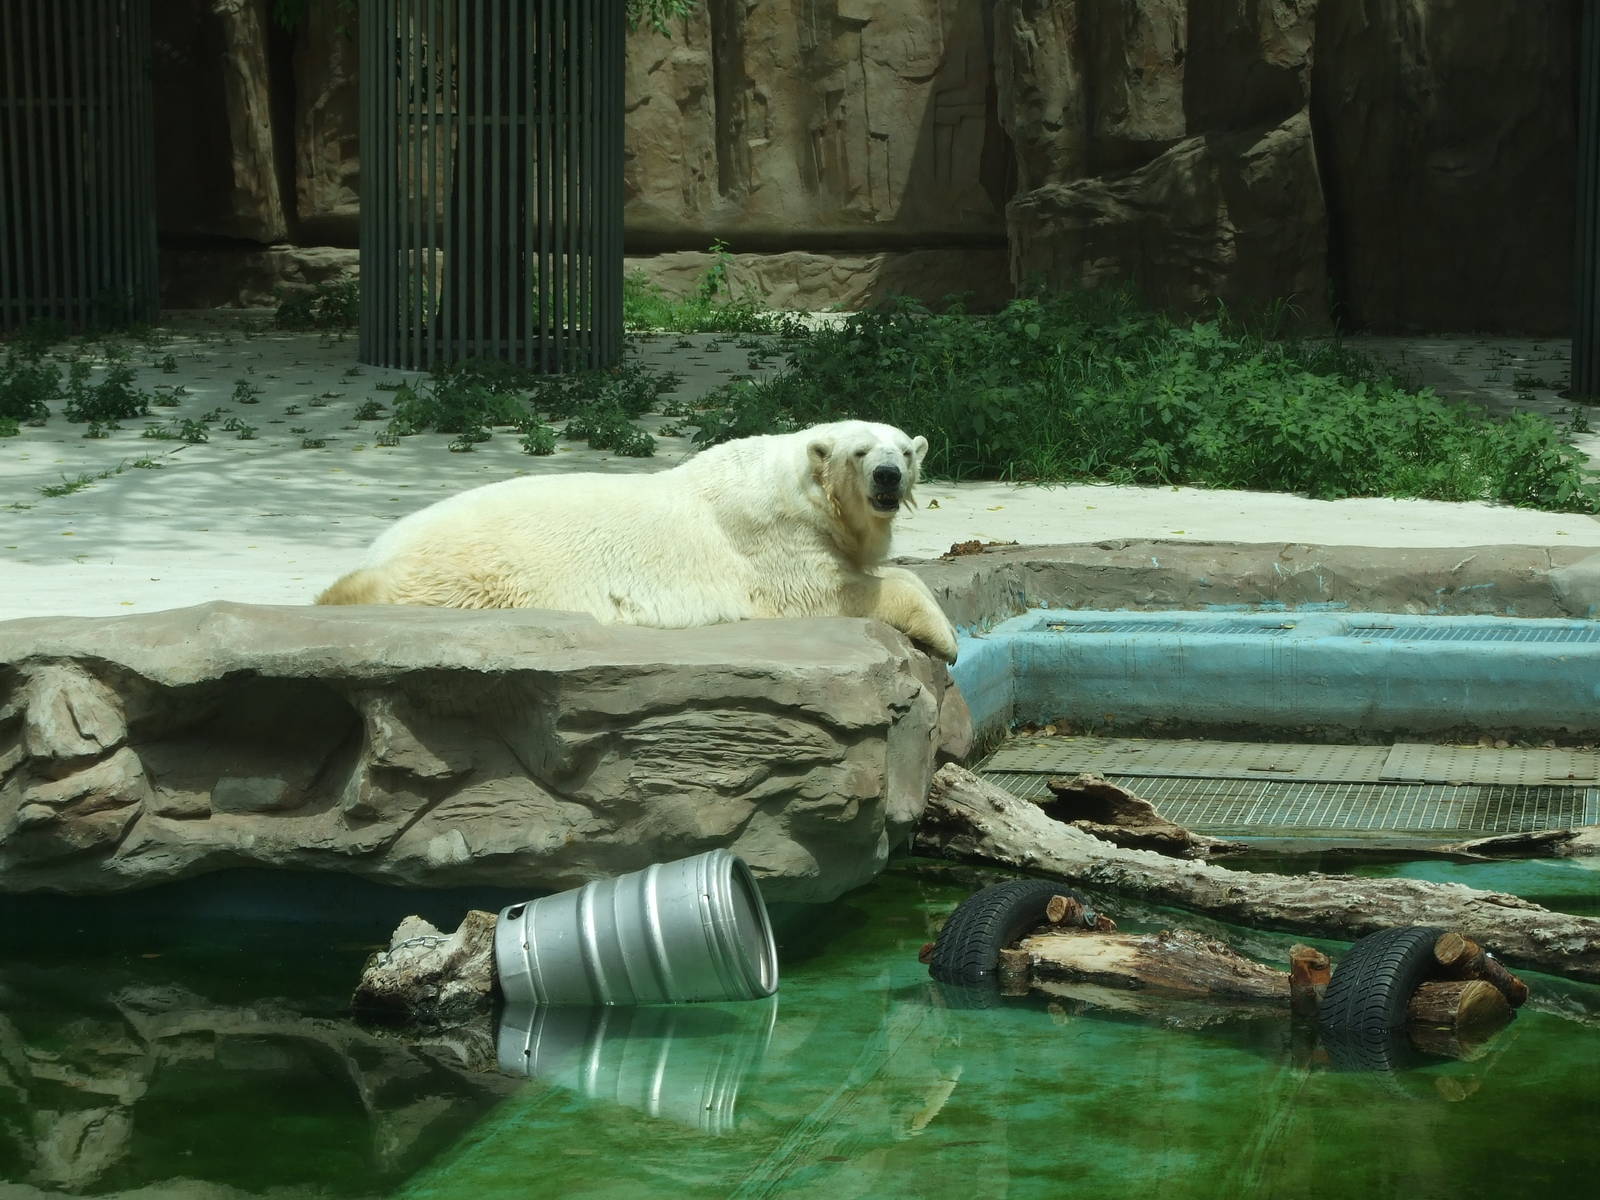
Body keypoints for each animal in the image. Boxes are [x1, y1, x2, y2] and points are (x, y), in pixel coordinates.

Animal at [315, 419, 960, 663]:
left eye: (904, 451)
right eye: (860, 452)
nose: (887, 477)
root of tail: (383, 545)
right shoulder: (773, 539)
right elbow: (832, 592)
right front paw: (947, 638)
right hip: (471, 569)